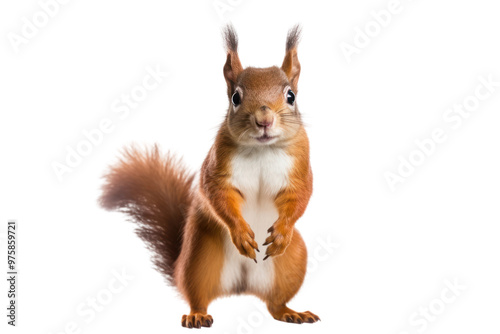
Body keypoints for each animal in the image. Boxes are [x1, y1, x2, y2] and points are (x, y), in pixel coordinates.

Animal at [99, 24, 318, 328]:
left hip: (292, 261)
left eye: (291, 96)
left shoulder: (300, 168)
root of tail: (242, 286)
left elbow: (299, 197)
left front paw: (282, 232)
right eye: (236, 97)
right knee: (197, 294)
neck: (262, 149)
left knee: (274, 304)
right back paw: (197, 315)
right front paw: (241, 233)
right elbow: (217, 195)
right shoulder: (217, 169)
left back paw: (291, 312)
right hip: (200, 257)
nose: (264, 120)